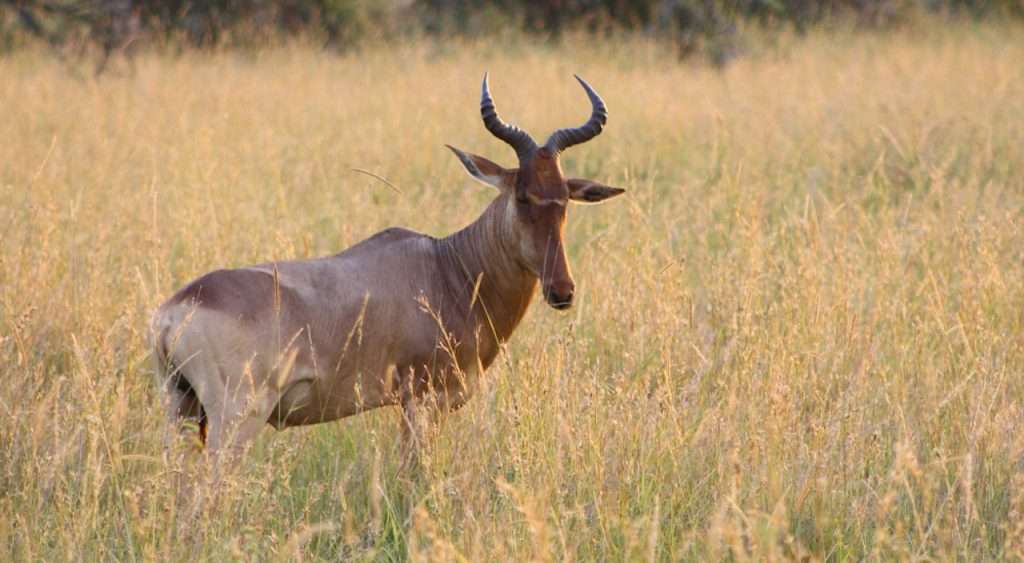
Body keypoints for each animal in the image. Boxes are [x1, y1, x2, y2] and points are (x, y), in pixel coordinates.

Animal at [151, 74, 625, 465]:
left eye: (564, 199)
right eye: (522, 196)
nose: (561, 291)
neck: (449, 268)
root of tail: (173, 312)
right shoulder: (421, 401)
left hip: (181, 410)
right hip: (235, 418)